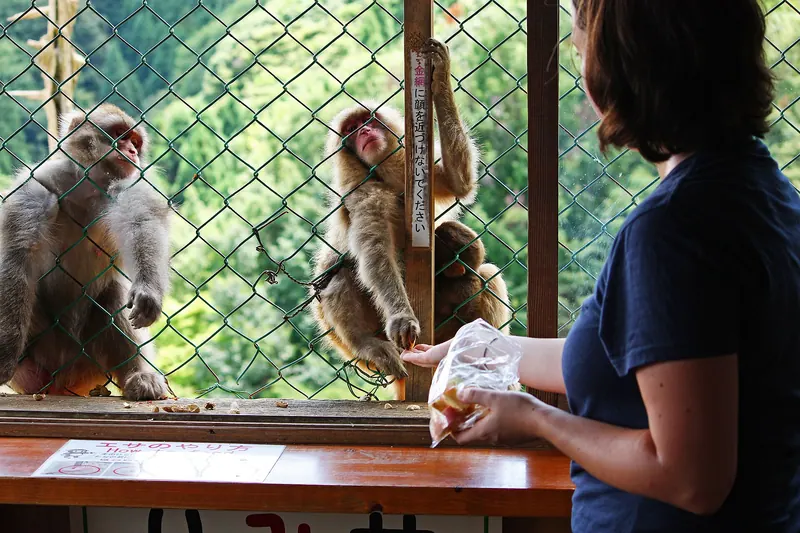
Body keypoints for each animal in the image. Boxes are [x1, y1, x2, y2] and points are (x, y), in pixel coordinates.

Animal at [0, 103, 172, 401]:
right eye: (119, 134)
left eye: (135, 141)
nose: (132, 151)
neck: (87, 187)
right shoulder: (37, 185)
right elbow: (17, 255)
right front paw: (6, 354)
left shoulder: (127, 184)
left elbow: (141, 222)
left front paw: (148, 289)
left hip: (91, 362)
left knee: (113, 295)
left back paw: (139, 376)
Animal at [310, 38, 480, 399]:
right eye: (352, 129)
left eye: (369, 121)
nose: (364, 132)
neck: (383, 175)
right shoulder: (361, 192)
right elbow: (375, 252)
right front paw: (402, 317)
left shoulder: (414, 173)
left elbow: (459, 183)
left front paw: (439, 76)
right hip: (339, 337)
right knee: (339, 272)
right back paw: (368, 344)